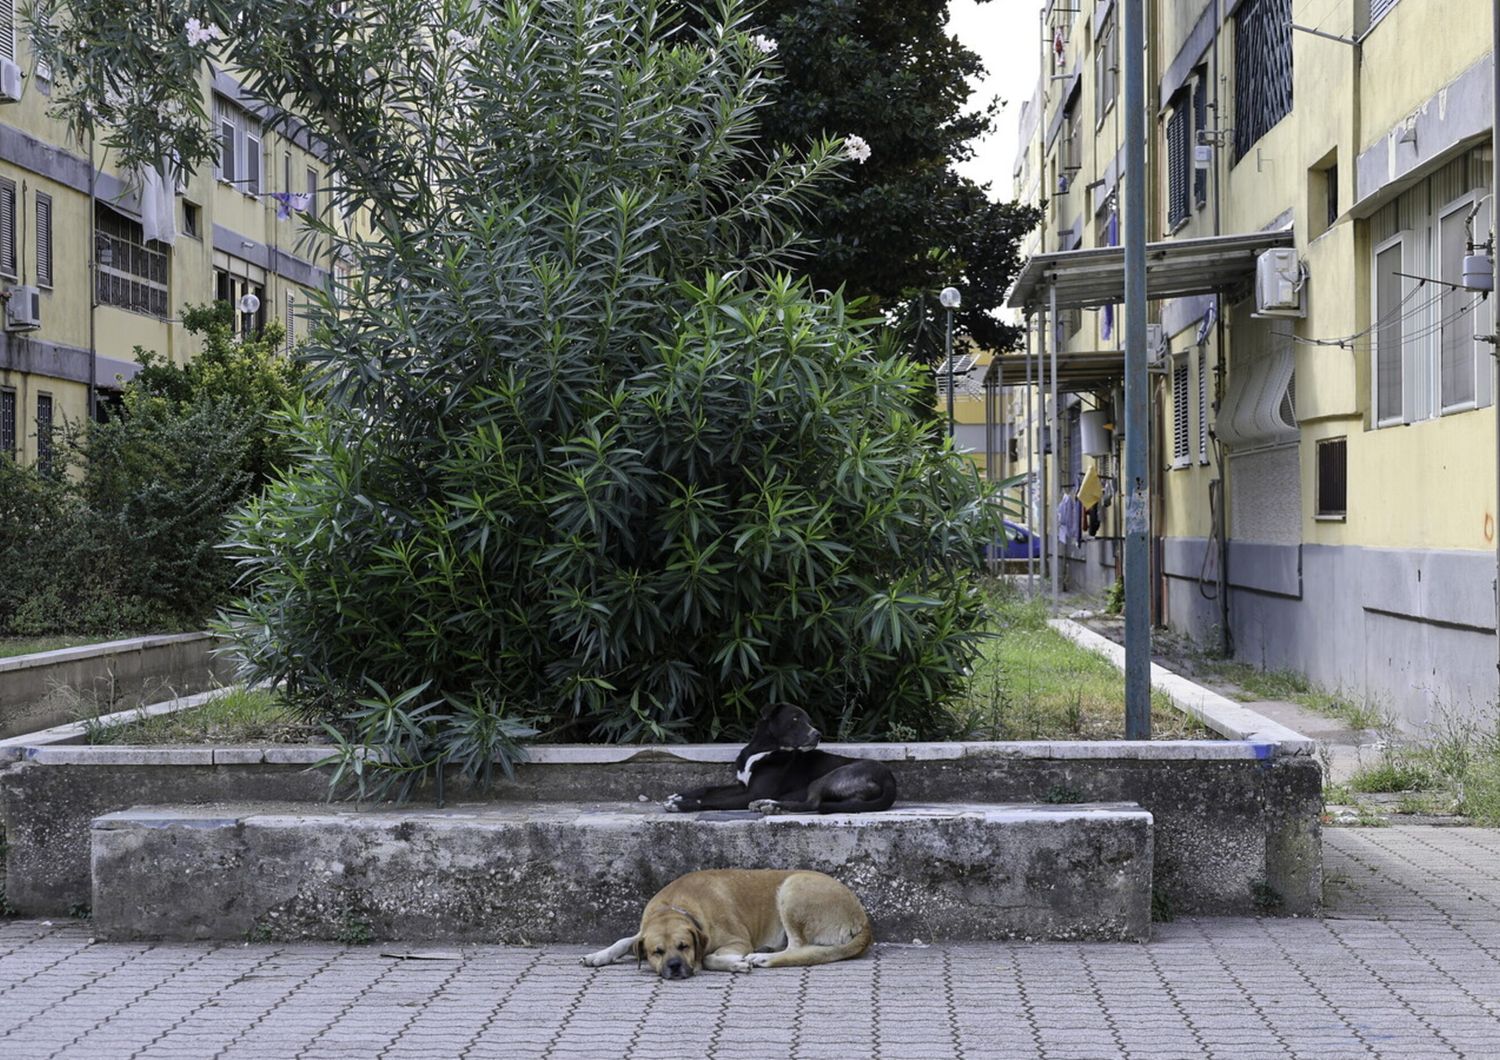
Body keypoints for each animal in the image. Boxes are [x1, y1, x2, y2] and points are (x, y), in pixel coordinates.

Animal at [579, 869, 876, 977]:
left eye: (684, 946)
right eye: (657, 952)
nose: (674, 967)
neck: (677, 906)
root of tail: (862, 918)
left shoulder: (737, 941)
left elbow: (709, 958)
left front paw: (735, 963)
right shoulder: (643, 933)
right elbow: (624, 941)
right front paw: (598, 956)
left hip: (791, 888)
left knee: (797, 948)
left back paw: (762, 956)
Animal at [663, 707, 894, 815]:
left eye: (809, 721)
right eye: (795, 719)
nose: (818, 735)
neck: (762, 750)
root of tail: (889, 779)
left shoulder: (752, 793)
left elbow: (713, 801)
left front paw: (680, 804)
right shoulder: (743, 786)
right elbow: (708, 788)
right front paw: (678, 795)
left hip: (829, 777)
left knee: (812, 803)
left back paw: (771, 805)